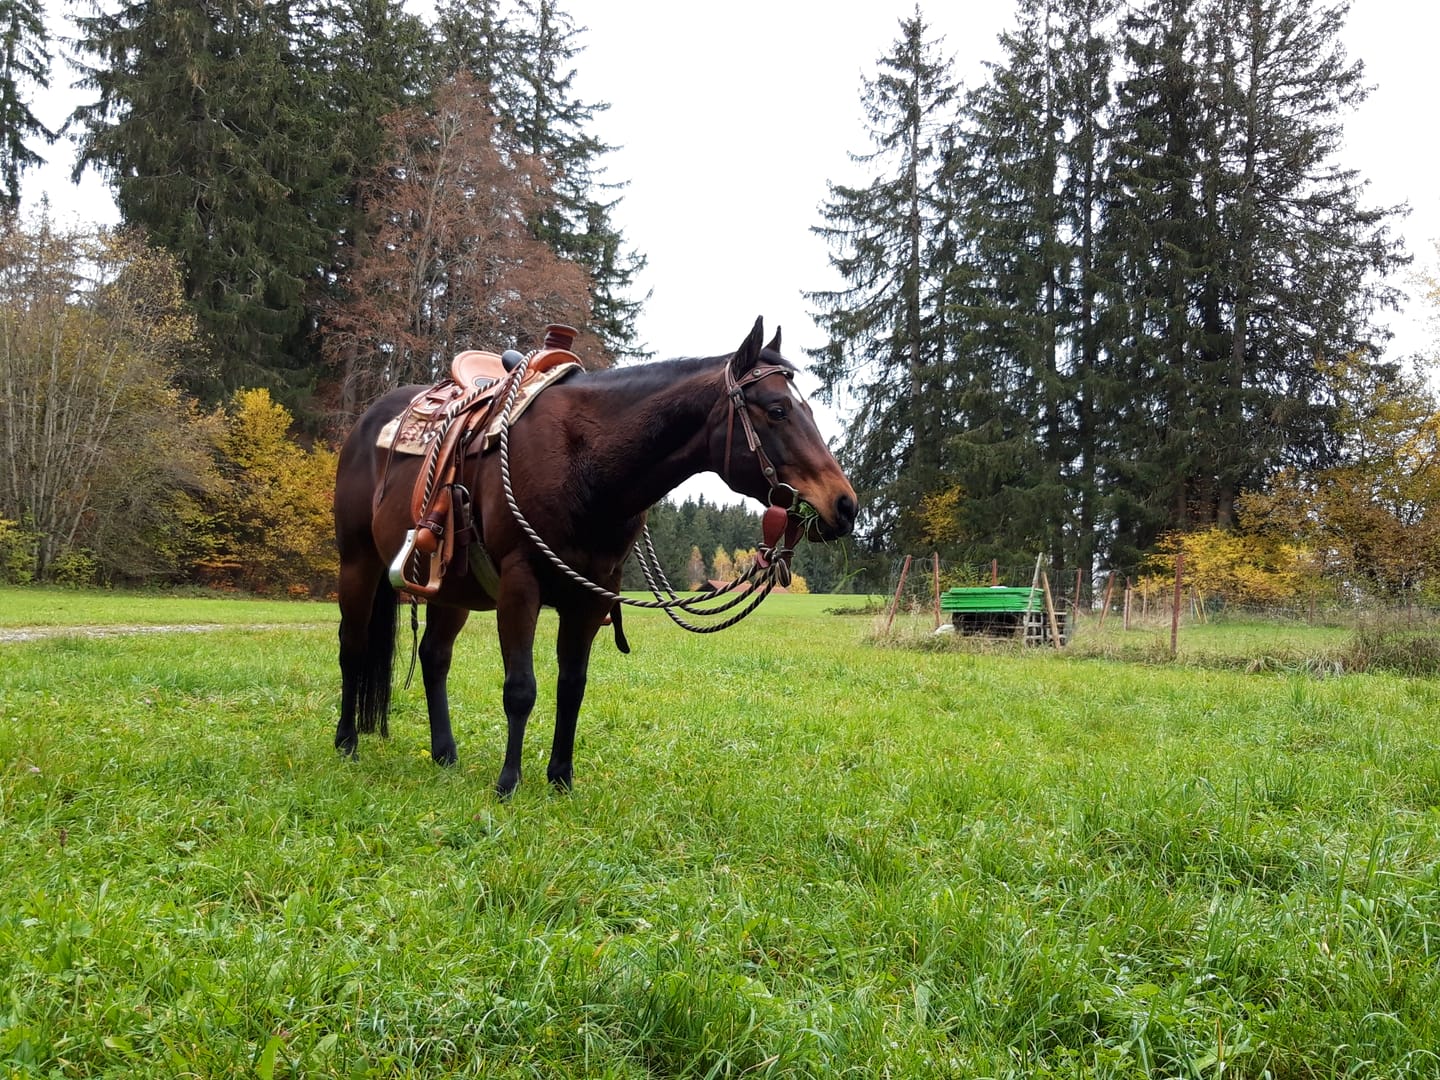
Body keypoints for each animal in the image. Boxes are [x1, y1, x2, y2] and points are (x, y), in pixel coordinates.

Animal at [332, 317, 857, 796]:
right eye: (778, 409)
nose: (845, 505)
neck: (583, 460)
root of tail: (367, 421)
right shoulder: (520, 583)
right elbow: (520, 688)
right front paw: (508, 783)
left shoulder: (592, 593)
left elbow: (573, 685)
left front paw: (560, 779)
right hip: (358, 564)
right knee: (353, 646)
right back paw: (347, 743)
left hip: (452, 588)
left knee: (434, 656)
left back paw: (444, 753)